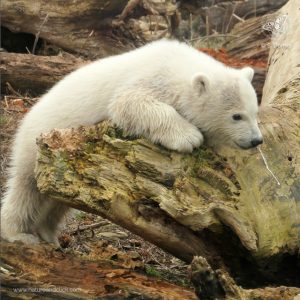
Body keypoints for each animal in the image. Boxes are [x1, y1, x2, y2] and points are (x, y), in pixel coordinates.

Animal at [0, 39, 262, 245]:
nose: (256, 140)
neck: (175, 65)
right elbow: (129, 102)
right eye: (237, 116)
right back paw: (18, 234)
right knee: (26, 187)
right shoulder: (150, 80)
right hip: (37, 141)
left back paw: (48, 233)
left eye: (254, 112)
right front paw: (189, 136)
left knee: (58, 200)